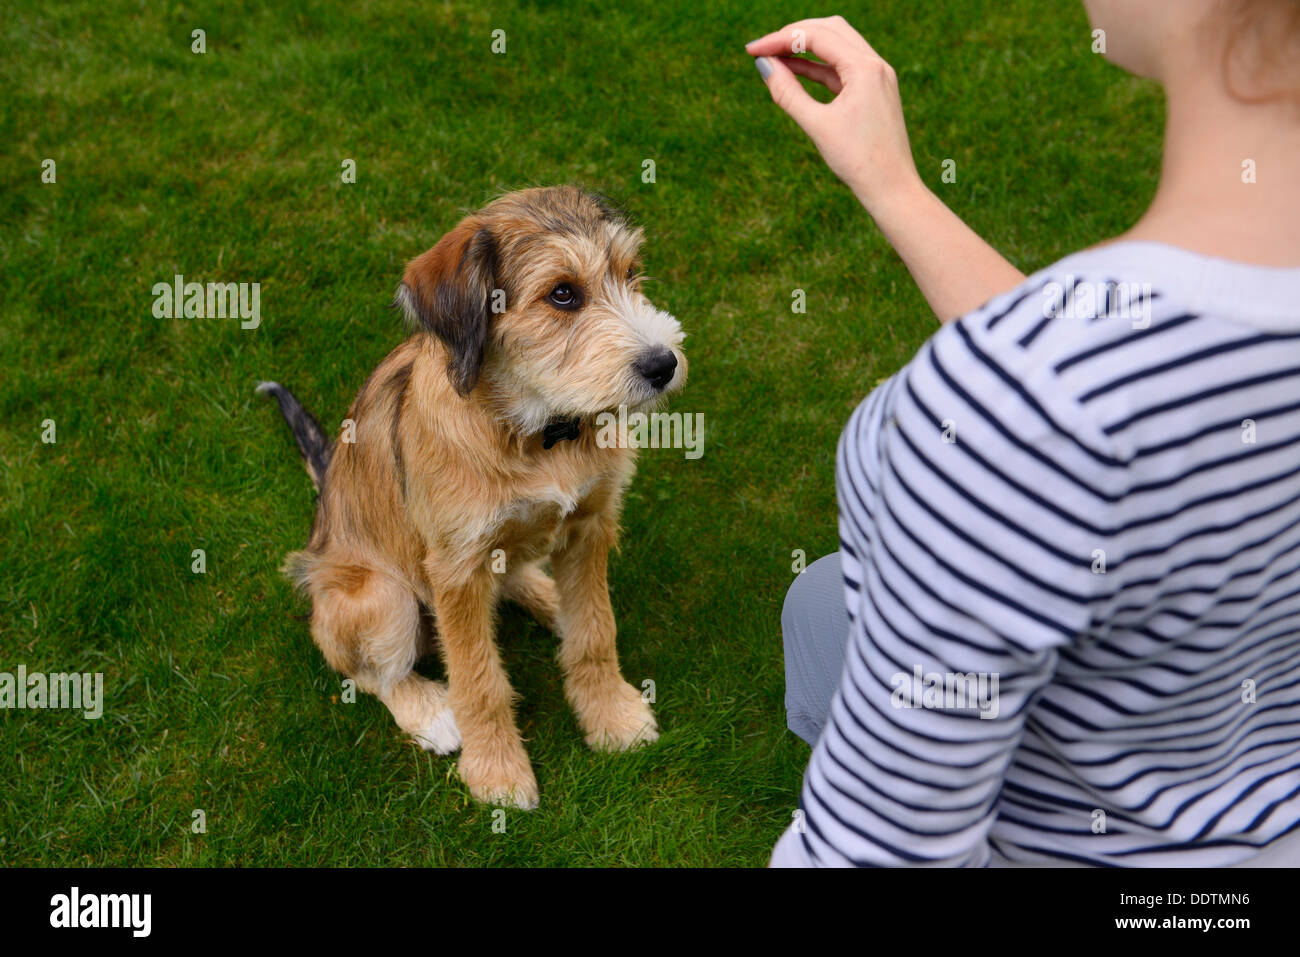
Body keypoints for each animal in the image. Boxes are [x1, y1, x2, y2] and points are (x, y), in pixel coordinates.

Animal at [250, 184, 681, 806]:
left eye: (631, 273)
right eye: (562, 294)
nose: (664, 365)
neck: (538, 433)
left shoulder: (589, 524)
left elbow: (596, 632)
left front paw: (611, 717)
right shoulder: (455, 569)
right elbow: (479, 681)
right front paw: (497, 771)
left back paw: (548, 599)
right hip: (380, 596)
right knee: (365, 668)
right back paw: (429, 710)